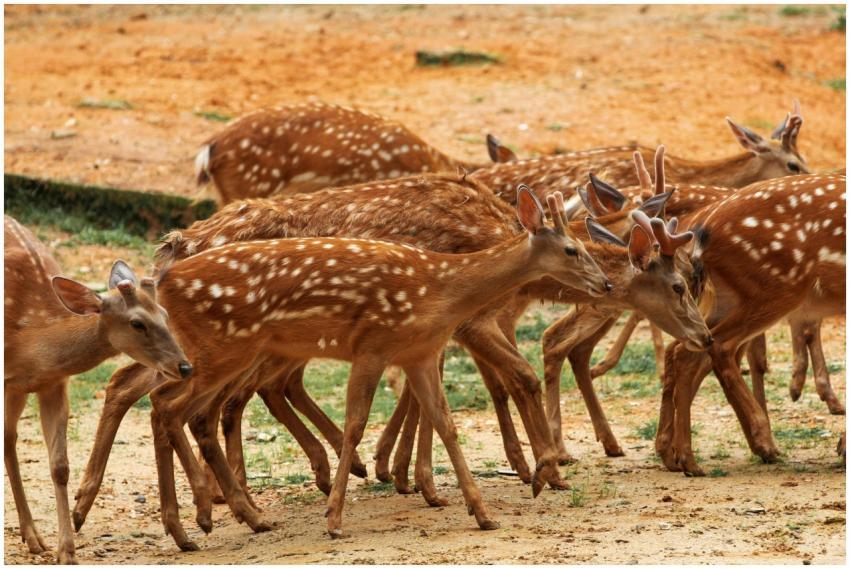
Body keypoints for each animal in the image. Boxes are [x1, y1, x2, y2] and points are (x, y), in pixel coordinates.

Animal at [3, 215, 191, 565]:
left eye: (165, 313)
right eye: (137, 323)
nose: (185, 366)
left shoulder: (51, 383)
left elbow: (60, 466)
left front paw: (66, 551)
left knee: (9, 440)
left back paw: (33, 537)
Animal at [655, 171, 845, 475]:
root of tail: (703, 229)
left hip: (731, 296)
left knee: (684, 350)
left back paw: (678, 456)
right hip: (779, 286)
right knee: (716, 347)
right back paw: (758, 440)